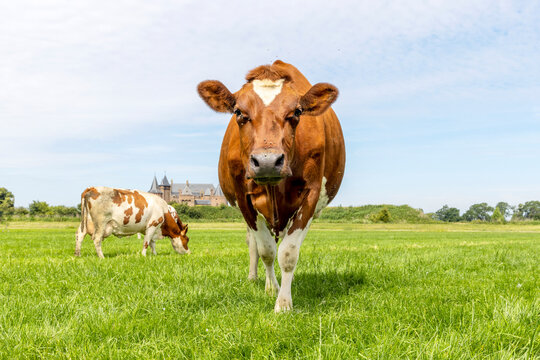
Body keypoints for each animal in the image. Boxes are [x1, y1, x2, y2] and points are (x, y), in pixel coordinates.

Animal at [198, 59, 346, 312]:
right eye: (239, 112)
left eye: (297, 112)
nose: (267, 162)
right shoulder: (243, 198)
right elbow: (266, 250)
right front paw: (272, 290)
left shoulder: (311, 195)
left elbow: (288, 254)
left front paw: (284, 303)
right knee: (254, 244)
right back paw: (257, 279)